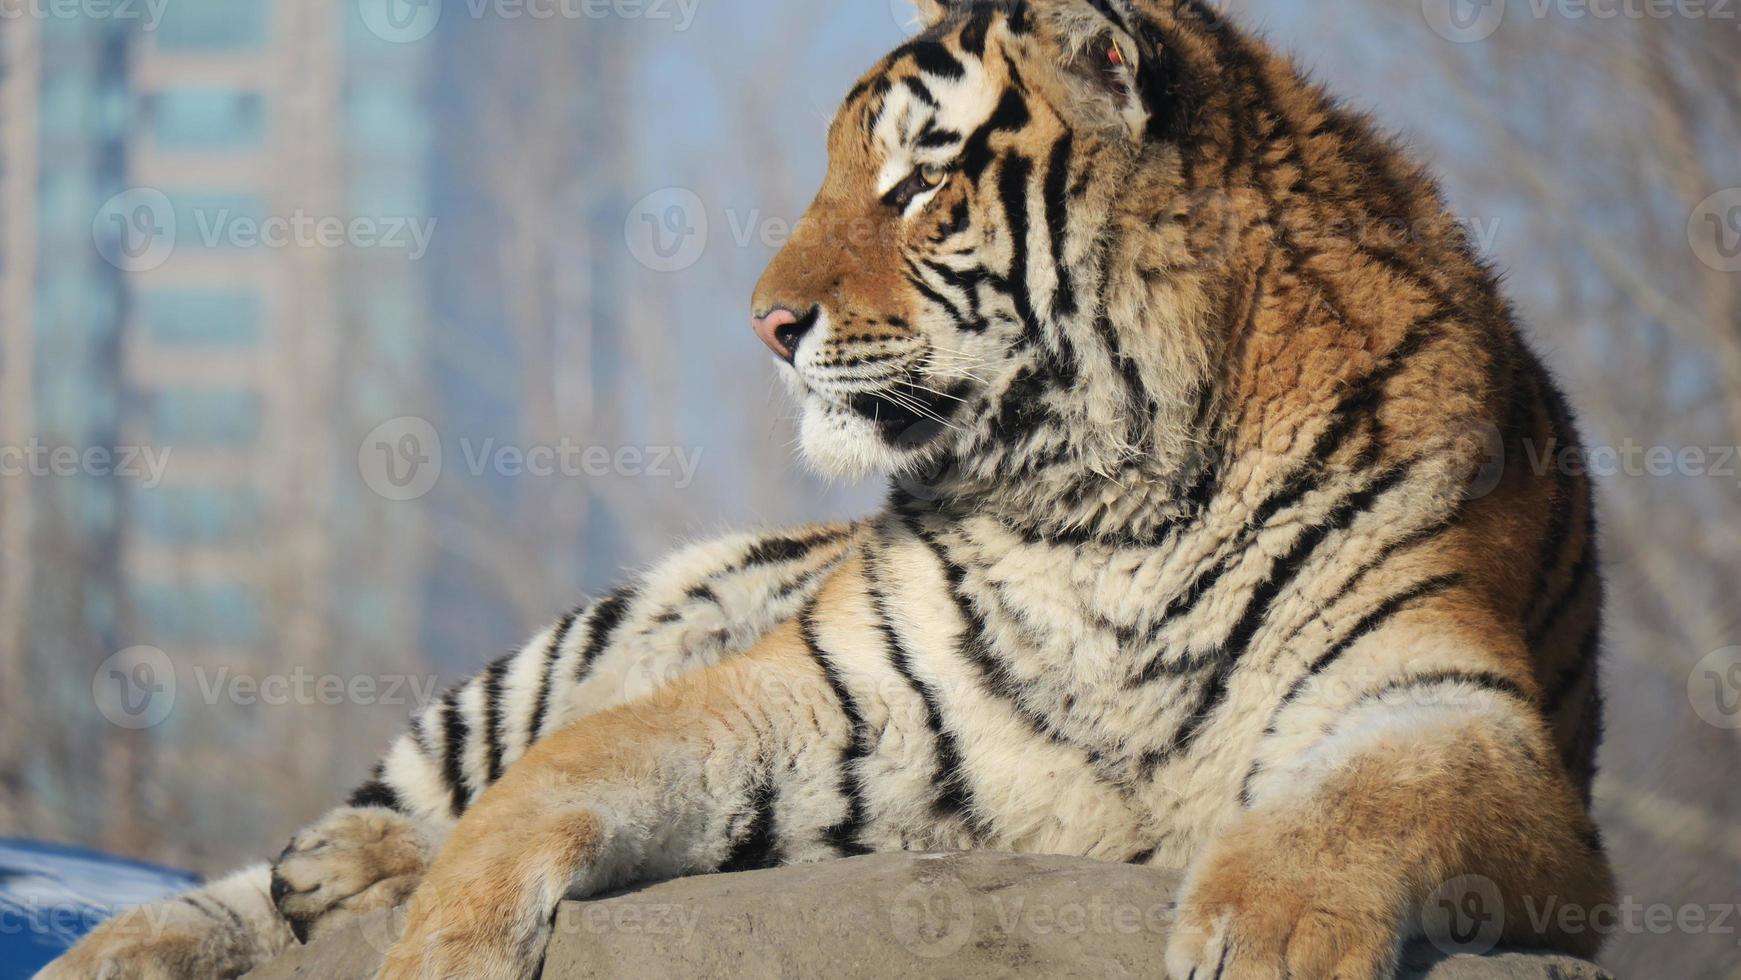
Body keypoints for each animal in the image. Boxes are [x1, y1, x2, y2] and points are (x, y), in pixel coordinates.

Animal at [40, 0, 1615, 974]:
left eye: (919, 183)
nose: (763, 321)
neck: (1108, 505)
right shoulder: (834, 689)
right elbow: (565, 773)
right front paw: (439, 942)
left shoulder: (1451, 709)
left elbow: (1361, 805)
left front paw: (1271, 940)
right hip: (576, 636)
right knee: (346, 827)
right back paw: (212, 912)